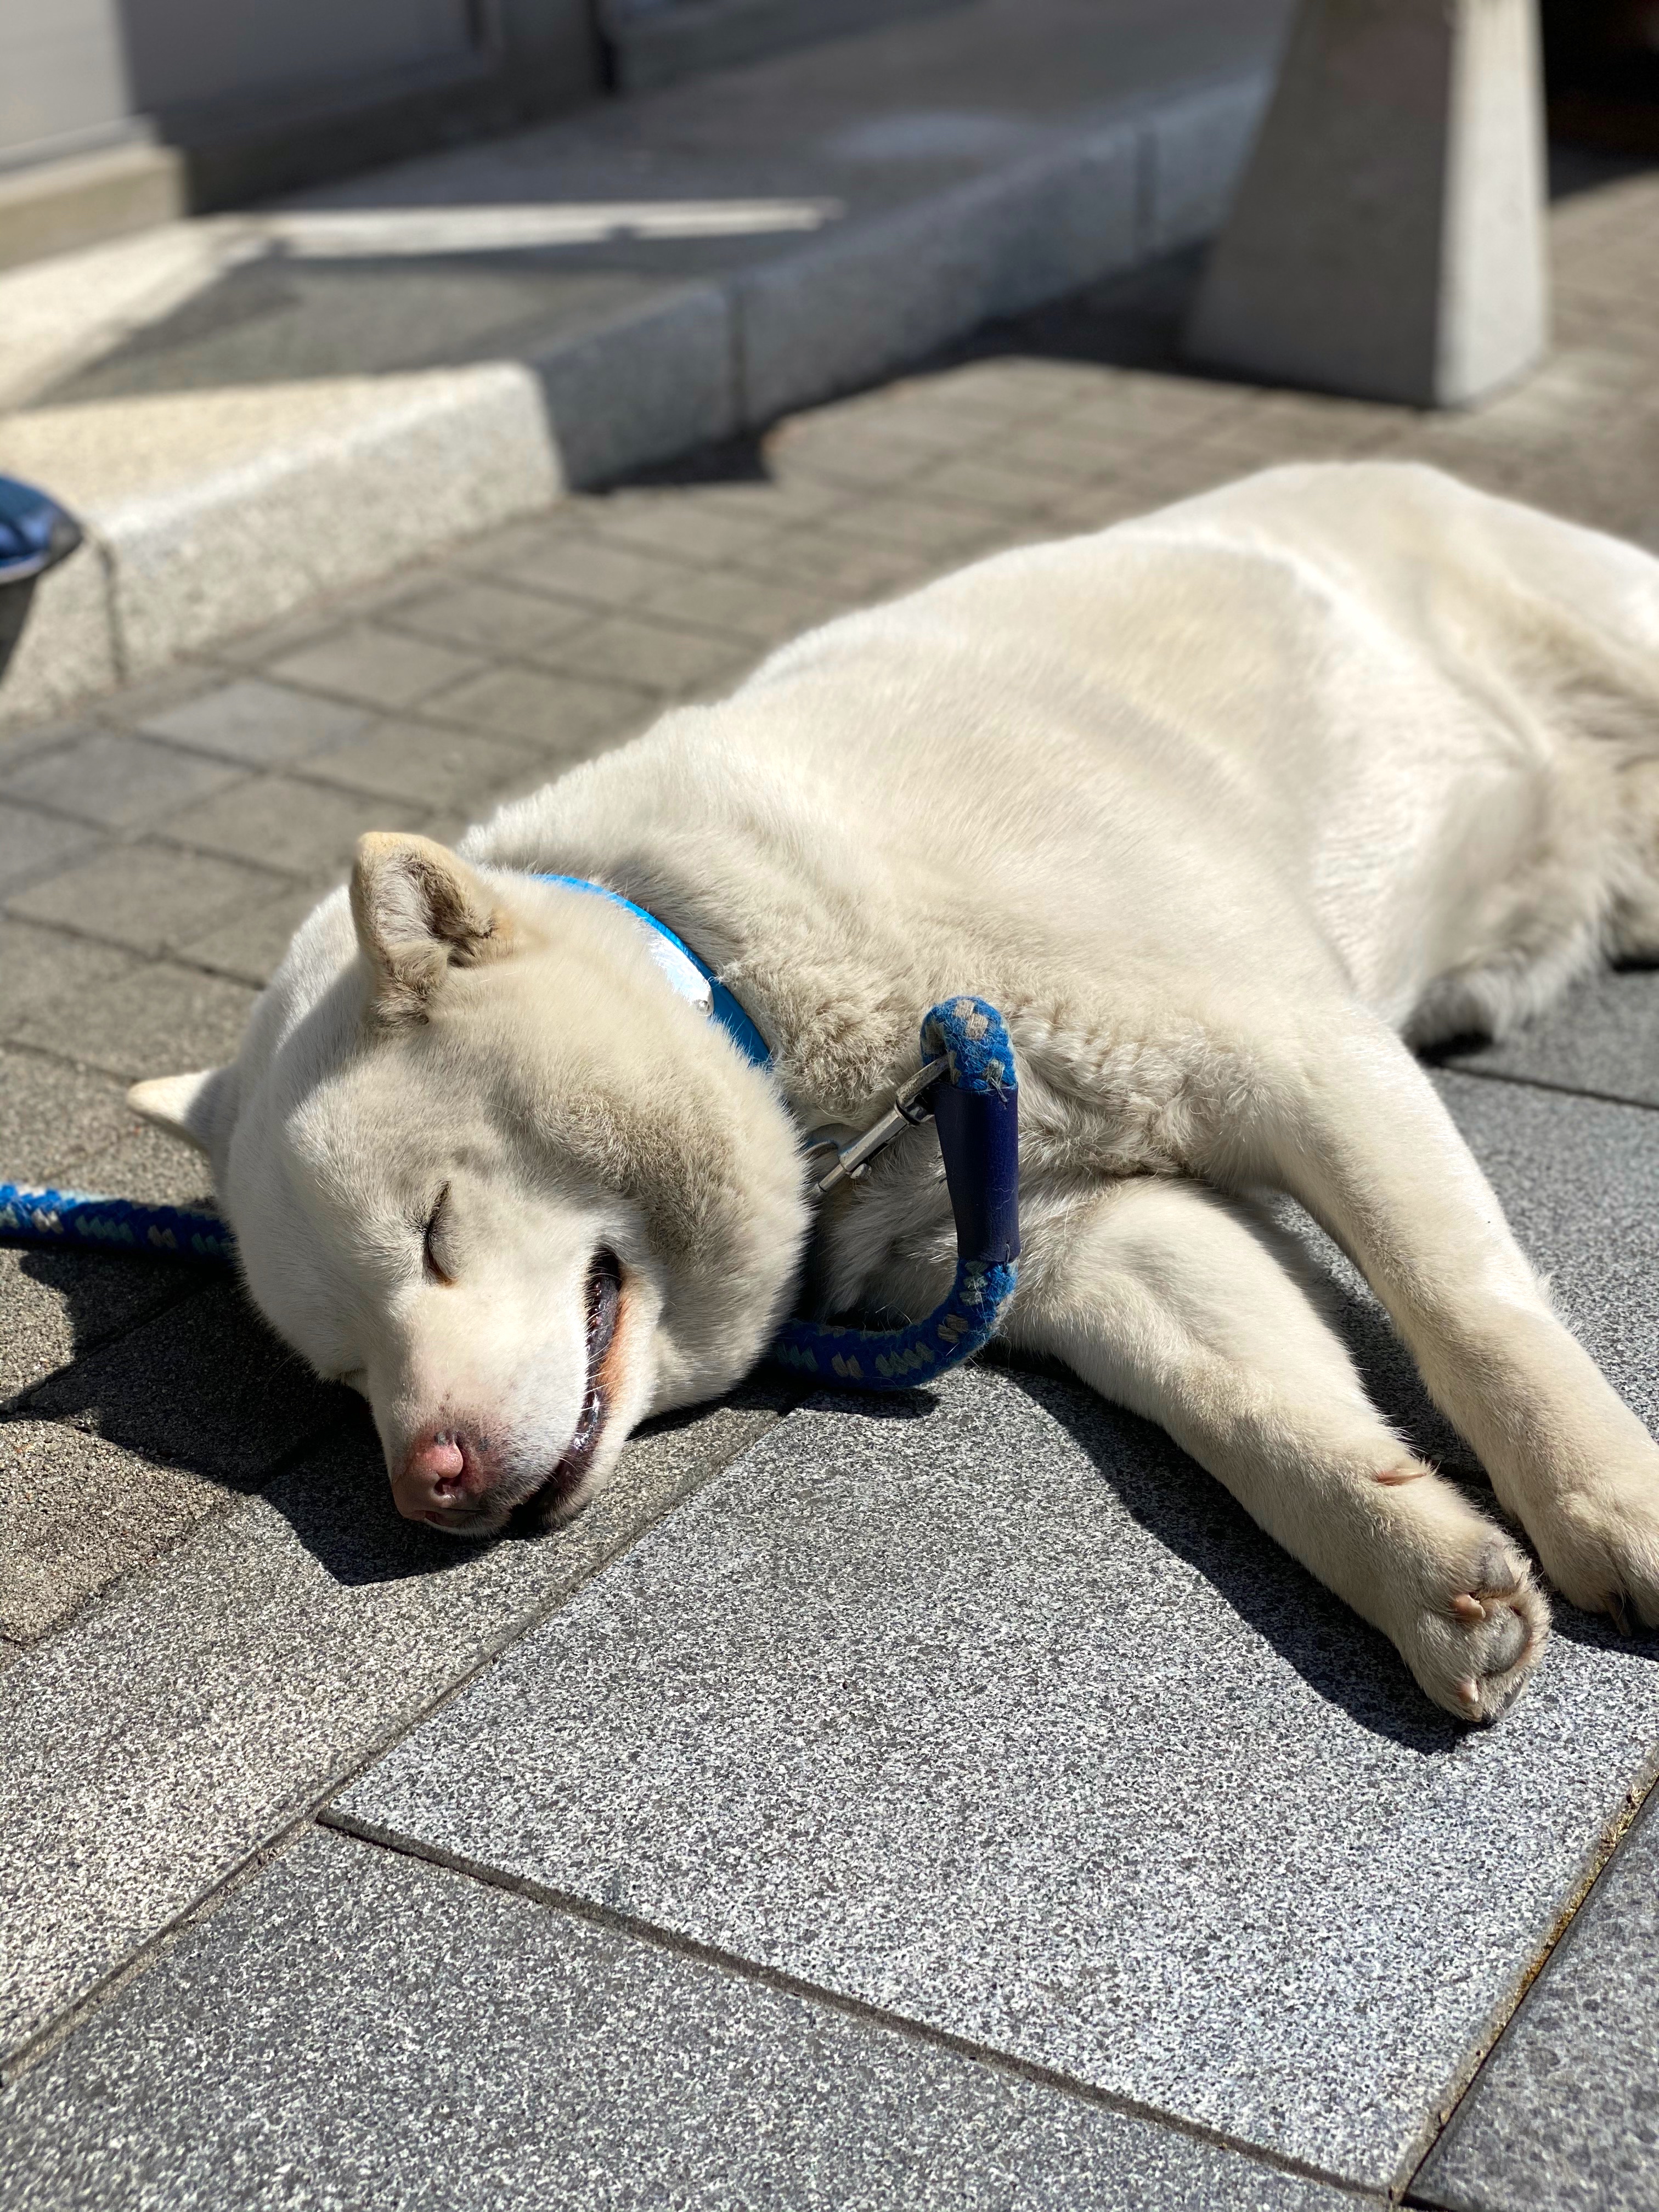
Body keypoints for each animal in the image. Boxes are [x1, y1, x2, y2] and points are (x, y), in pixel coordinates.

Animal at [130, 461, 1659, 1723]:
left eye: (436, 1229)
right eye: (346, 1376)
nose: (425, 1484)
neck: (751, 986)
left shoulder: (1299, 1052)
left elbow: (1466, 1304)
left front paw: (1609, 1506)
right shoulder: (1058, 1229)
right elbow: (1254, 1404)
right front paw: (1428, 1572)